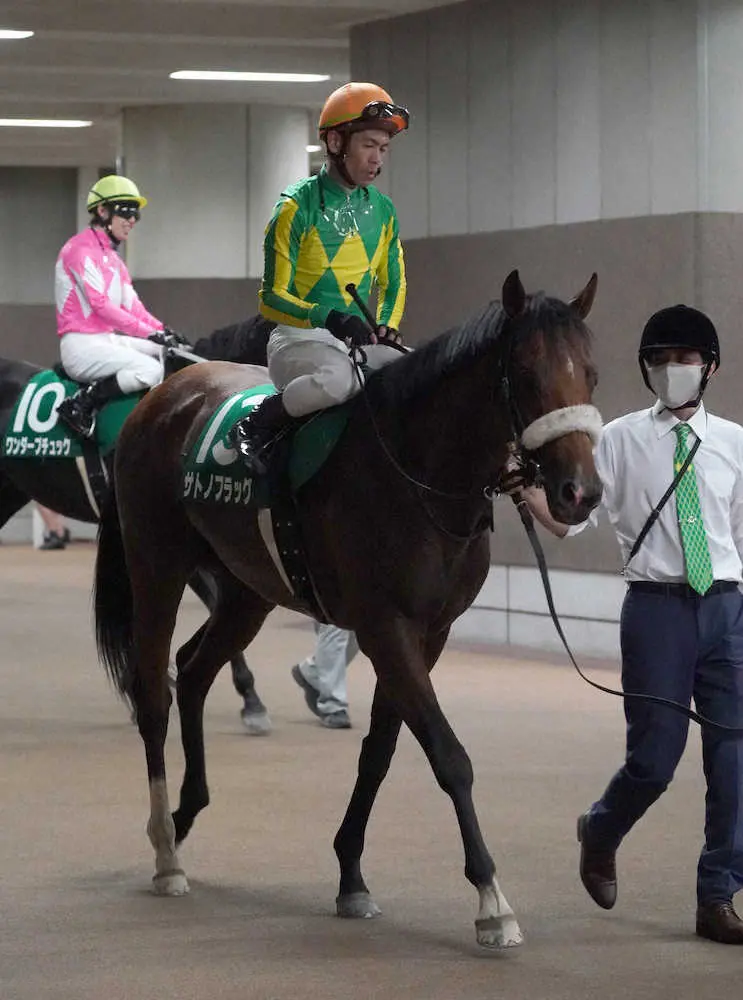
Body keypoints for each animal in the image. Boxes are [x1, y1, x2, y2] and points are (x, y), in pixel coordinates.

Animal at [93, 270, 604, 948]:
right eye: (523, 371)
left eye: (591, 372)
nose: (580, 492)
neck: (415, 473)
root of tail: (162, 395)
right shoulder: (386, 626)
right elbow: (449, 757)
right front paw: (492, 900)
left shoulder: (429, 633)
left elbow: (380, 752)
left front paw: (351, 876)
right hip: (158, 565)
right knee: (155, 690)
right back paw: (165, 854)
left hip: (247, 589)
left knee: (196, 669)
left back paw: (186, 811)